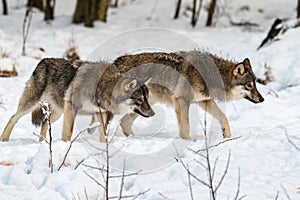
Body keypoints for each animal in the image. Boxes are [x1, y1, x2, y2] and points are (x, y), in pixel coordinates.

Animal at [112, 50, 262, 139]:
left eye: (255, 83)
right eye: (249, 85)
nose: (262, 99)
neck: (210, 75)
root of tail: (115, 62)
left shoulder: (204, 101)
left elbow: (223, 117)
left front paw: (228, 138)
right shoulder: (182, 100)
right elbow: (186, 127)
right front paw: (186, 143)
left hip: (146, 107)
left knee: (124, 122)